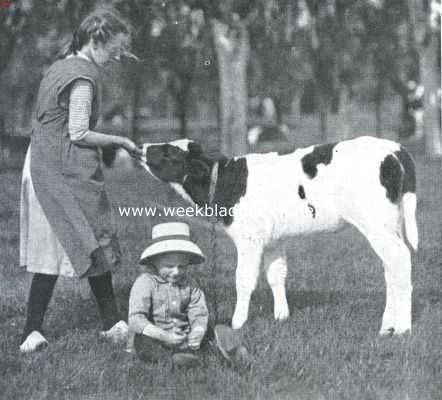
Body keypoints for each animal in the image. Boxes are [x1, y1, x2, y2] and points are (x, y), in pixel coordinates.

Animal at [110, 136, 418, 336]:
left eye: (169, 152)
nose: (140, 147)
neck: (228, 182)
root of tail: (395, 148)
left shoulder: (250, 238)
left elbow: (244, 280)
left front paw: (237, 323)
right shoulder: (273, 238)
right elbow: (276, 275)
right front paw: (281, 316)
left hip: (376, 222)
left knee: (400, 260)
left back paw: (402, 328)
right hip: (389, 221)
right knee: (391, 268)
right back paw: (387, 325)